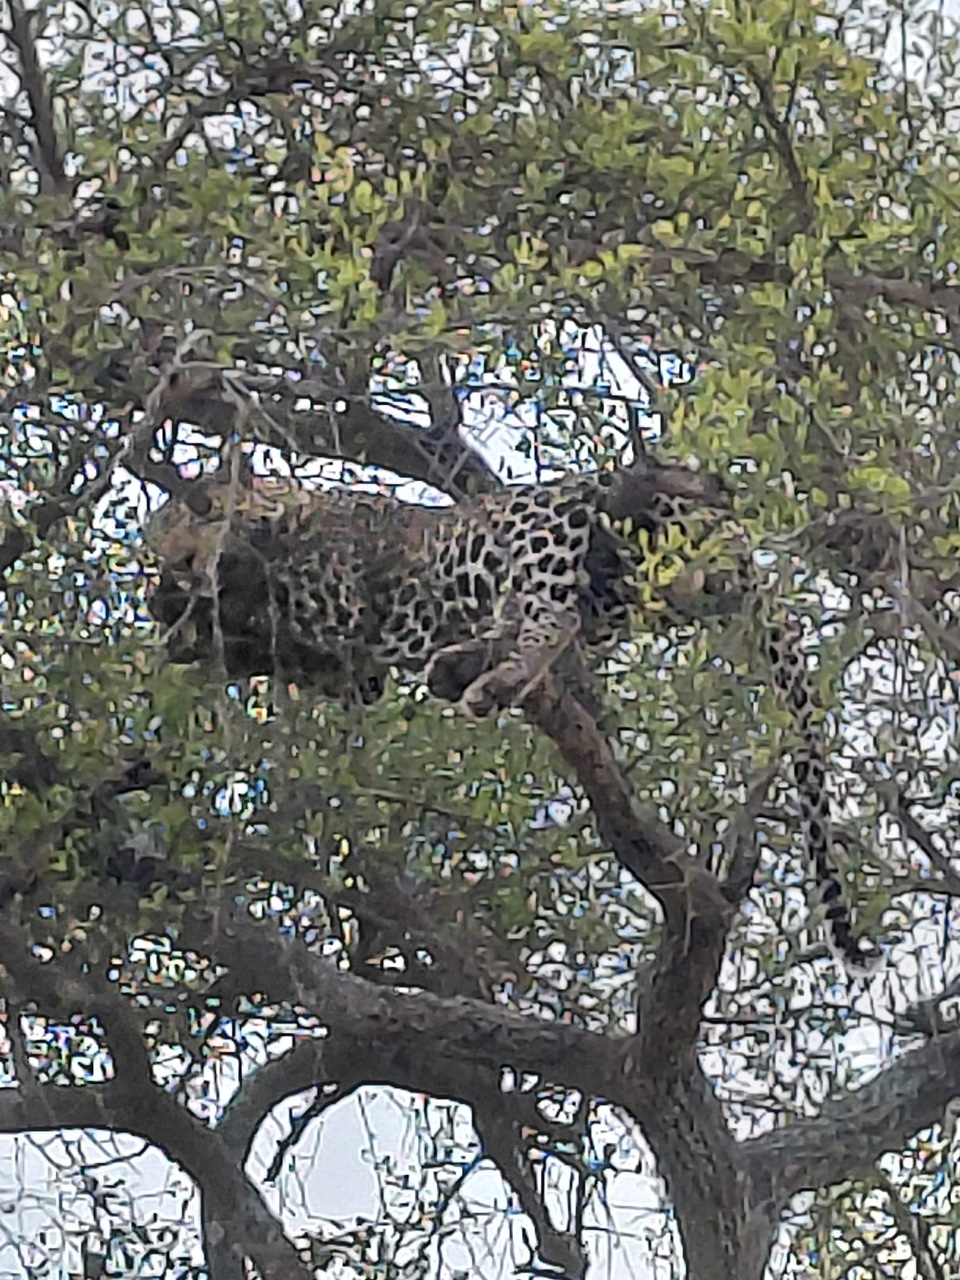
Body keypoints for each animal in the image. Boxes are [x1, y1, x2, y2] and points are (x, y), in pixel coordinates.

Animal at [144, 456, 882, 974]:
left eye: (196, 511)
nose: (169, 561)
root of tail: (727, 527)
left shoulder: (338, 613)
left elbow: (262, 614)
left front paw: (197, 601)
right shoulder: (351, 672)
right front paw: (180, 618)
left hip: (539, 529)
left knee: (552, 615)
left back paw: (491, 681)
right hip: (623, 590)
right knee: (550, 617)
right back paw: (464, 665)